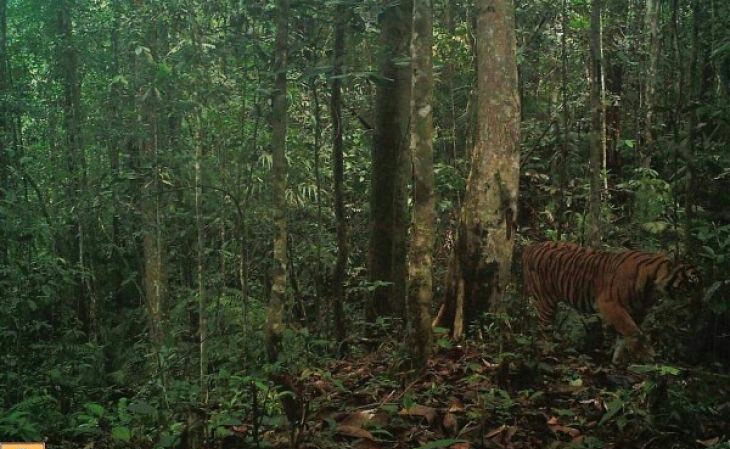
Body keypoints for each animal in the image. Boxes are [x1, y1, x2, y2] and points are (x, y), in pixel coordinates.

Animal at [520, 240, 704, 362]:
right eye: (691, 285)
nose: (699, 305)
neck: (653, 287)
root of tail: (531, 246)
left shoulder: (637, 311)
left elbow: (625, 335)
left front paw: (618, 360)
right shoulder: (610, 304)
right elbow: (634, 332)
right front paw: (647, 355)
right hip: (545, 301)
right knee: (544, 328)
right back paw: (548, 352)